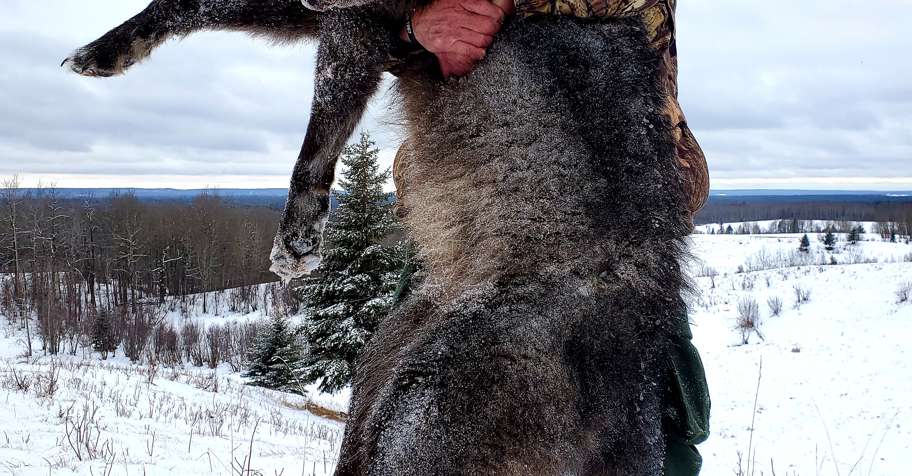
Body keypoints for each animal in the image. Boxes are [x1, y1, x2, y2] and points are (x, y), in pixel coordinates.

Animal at [65, 3, 691, 473]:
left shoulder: (360, 23)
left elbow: (318, 134)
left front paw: (299, 235)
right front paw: (107, 51)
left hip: (420, 419)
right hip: (382, 374)